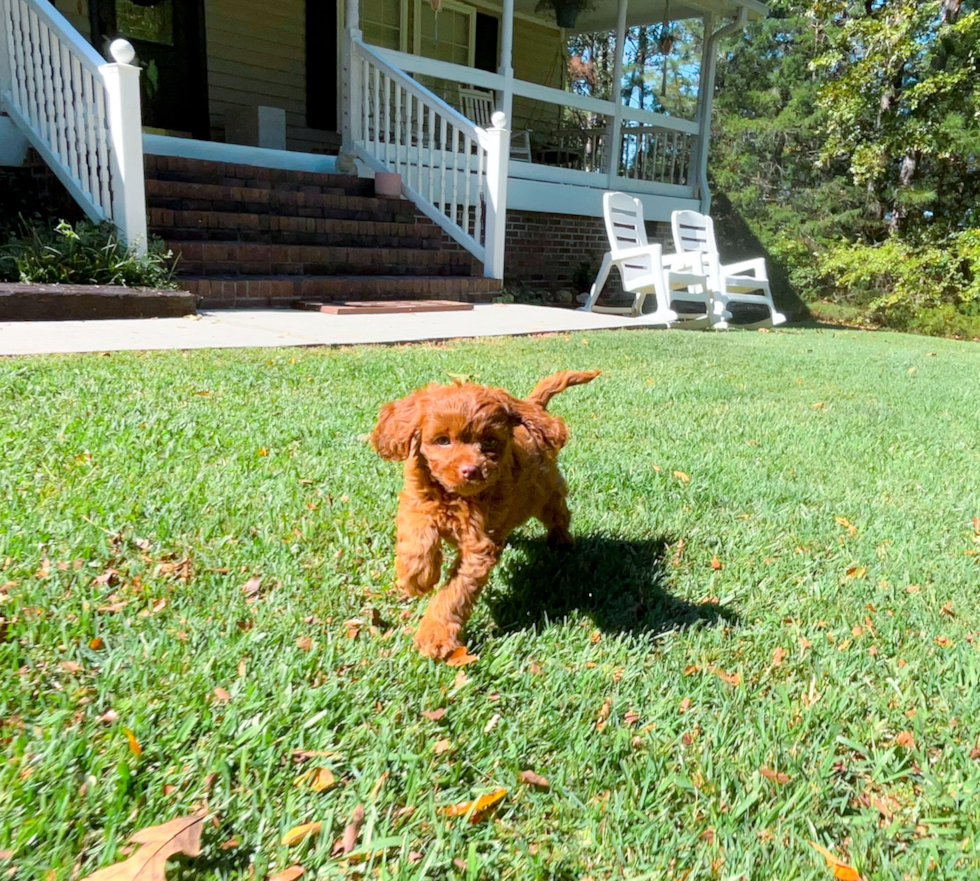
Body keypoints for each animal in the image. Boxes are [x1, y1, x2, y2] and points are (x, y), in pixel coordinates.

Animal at [368, 368, 596, 656]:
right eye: (442, 440)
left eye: (489, 441)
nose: (471, 470)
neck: (455, 497)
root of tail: (532, 406)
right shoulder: (415, 501)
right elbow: (417, 536)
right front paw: (418, 575)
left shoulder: (478, 548)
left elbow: (455, 593)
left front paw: (435, 635)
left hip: (546, 494)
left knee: (559, 515)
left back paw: (562, 543)